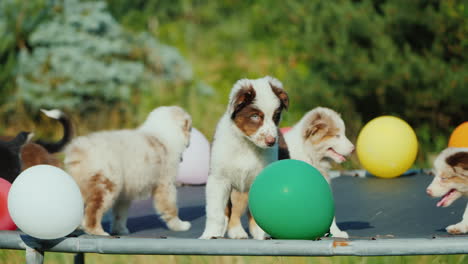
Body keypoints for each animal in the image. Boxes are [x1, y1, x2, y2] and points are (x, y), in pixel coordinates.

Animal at [64, 106, 192, 236]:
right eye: (190, 129)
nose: (189, 142)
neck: (161, 135)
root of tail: (79, 149)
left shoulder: (124, 194)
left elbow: (120, 214)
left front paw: (120, 230)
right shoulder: (166, 183)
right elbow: (171, 207)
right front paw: (180, 225)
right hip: (107, 185)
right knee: (93, 212)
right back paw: (98, 231)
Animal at [199, 76, 288, 239]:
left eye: (276, 116)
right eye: (255, 116)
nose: (272, 141)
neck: (246, 145)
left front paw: (263, 234)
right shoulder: (219, 178)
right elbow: (216, 212)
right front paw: (210, 235)